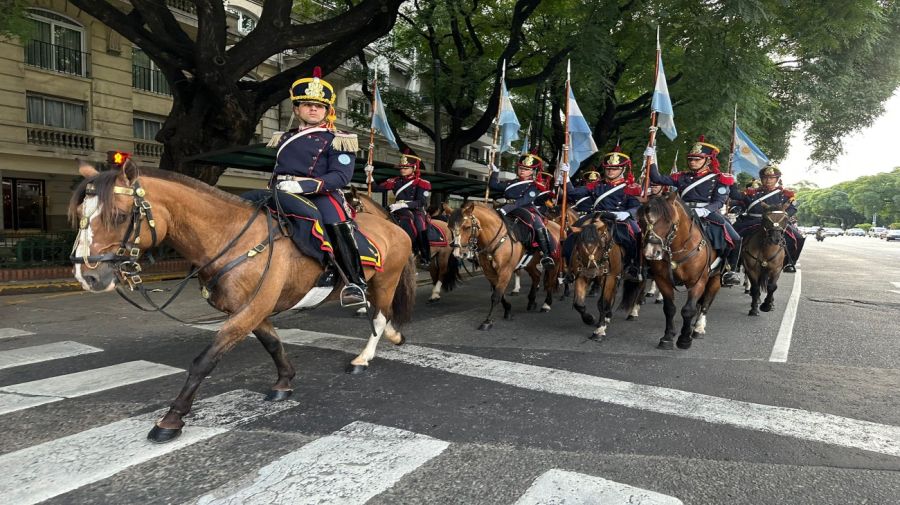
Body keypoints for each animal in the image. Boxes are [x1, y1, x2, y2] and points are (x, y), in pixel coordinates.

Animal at [69, 160, 414, 440]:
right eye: (81, 216)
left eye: (119, 215)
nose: (87, 276)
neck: (230, 237)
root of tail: (391, 225)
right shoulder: (250, 308)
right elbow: (273, 343)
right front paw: (284, 381)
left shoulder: (250, 308)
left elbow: (204, 361)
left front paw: (172, 419)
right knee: (378, 314)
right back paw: (393, 336)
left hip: (385, 280)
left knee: (379, 315)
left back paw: (363, 358)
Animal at [448, 201, 560, 330]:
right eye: (449, 228)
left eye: (467, 227)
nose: (458, 253)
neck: (494, 240)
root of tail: (557, 225)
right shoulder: (489, 272)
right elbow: (499, 294)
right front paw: (508, 309)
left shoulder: (505, 270)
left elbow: (496, 295)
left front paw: (487, 321)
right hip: (530, 263)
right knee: (536, 276)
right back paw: (531, 301)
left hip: (555, 262)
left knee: (550, 281)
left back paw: (546, 304)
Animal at [640, 191, 724, 348]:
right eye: (642, 222)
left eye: (668, 221)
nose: (650, 252)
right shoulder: (662, 280)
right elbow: (669, 308)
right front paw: (668, 336)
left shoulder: (697, 282)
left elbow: (688, 310)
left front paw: (684, 339)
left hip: (715, 278)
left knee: (706, 302)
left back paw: (699, 328)